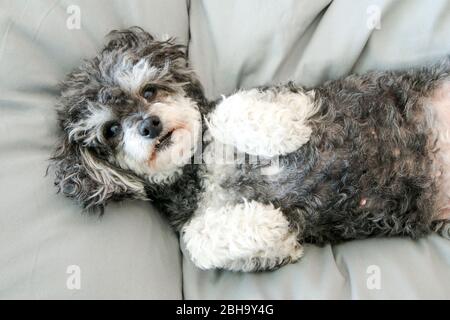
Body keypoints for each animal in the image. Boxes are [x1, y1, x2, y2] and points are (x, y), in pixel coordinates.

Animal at [51, 28, 450, 272]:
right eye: (111, 130)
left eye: (149, 90)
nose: (150, 125)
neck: (200, 170)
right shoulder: (253, 251)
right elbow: (196, 241)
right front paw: (272, 222)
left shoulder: (283, 94)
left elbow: (222, 113)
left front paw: (287, 129)